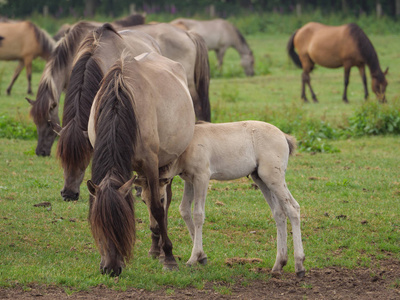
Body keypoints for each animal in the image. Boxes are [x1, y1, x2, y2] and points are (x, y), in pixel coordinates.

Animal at [86, 50, 195, 276]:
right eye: (99, 225)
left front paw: (169, 257)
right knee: (148, 197)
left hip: (165, 164)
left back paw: (162, 250)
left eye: (121, 225)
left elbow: (157, 208)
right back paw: (154, 248)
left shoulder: (151, 163)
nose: (111, 269)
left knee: (163, 200)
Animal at [134, 120, 306, 278]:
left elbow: (198, 214)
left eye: (162, 199)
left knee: (293, 208)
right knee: (279, 213)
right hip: (260, 178)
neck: (187, 147)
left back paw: (299, 266)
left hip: (272, 177)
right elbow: (184, 210)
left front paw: (193, 258)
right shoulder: (189, 180)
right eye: (143, 200)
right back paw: (279, 264)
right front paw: (202, 256)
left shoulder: (202, 177)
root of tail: (283, 136)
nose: (155, 228)